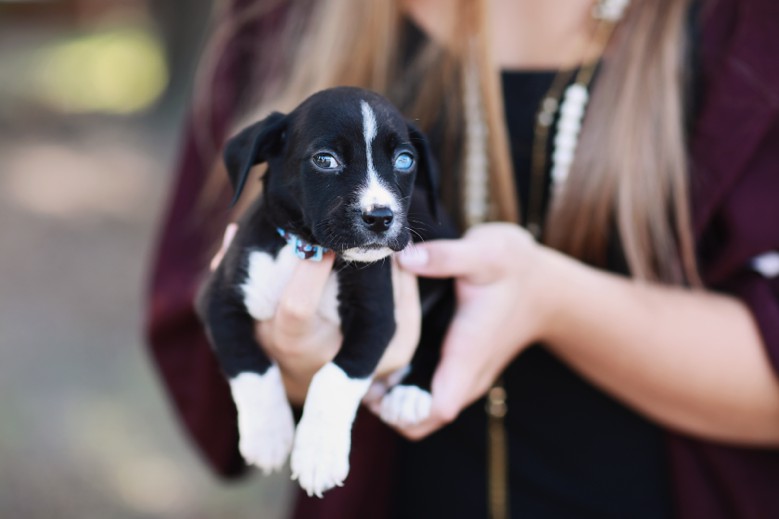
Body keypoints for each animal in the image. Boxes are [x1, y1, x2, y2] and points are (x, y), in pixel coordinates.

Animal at [198, 87, 444, 498]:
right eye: (325, 160)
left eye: (405, 160)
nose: (380, 217)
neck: (308, 251)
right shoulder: (219, 299)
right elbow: (249, 362)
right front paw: (269, 435)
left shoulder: (376, 317)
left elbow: (336, 376)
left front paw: (318, 454)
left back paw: (411, 392)